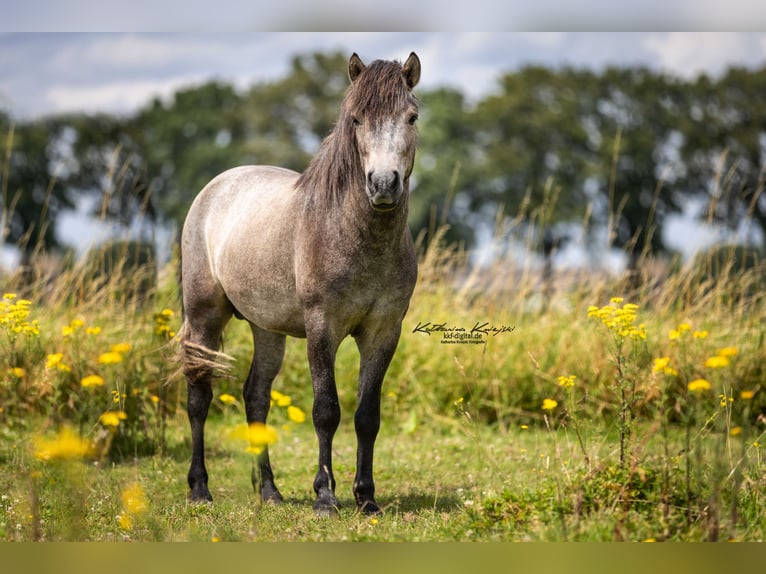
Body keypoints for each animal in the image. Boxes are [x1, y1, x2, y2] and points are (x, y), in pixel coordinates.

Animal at [178, 52, 421, 516]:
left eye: (412, 117)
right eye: (357, 119)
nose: (383, 184)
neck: (349, 233)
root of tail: (215, 188)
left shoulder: (383, 332)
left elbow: (367, 416)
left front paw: (367, 498)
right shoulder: (321, 328)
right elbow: (326, 410)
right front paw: (325, 496)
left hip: (266, 329)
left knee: (256, 397)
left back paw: (269, 491)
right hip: (205, 317)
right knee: (199, 396)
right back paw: (199, 489)